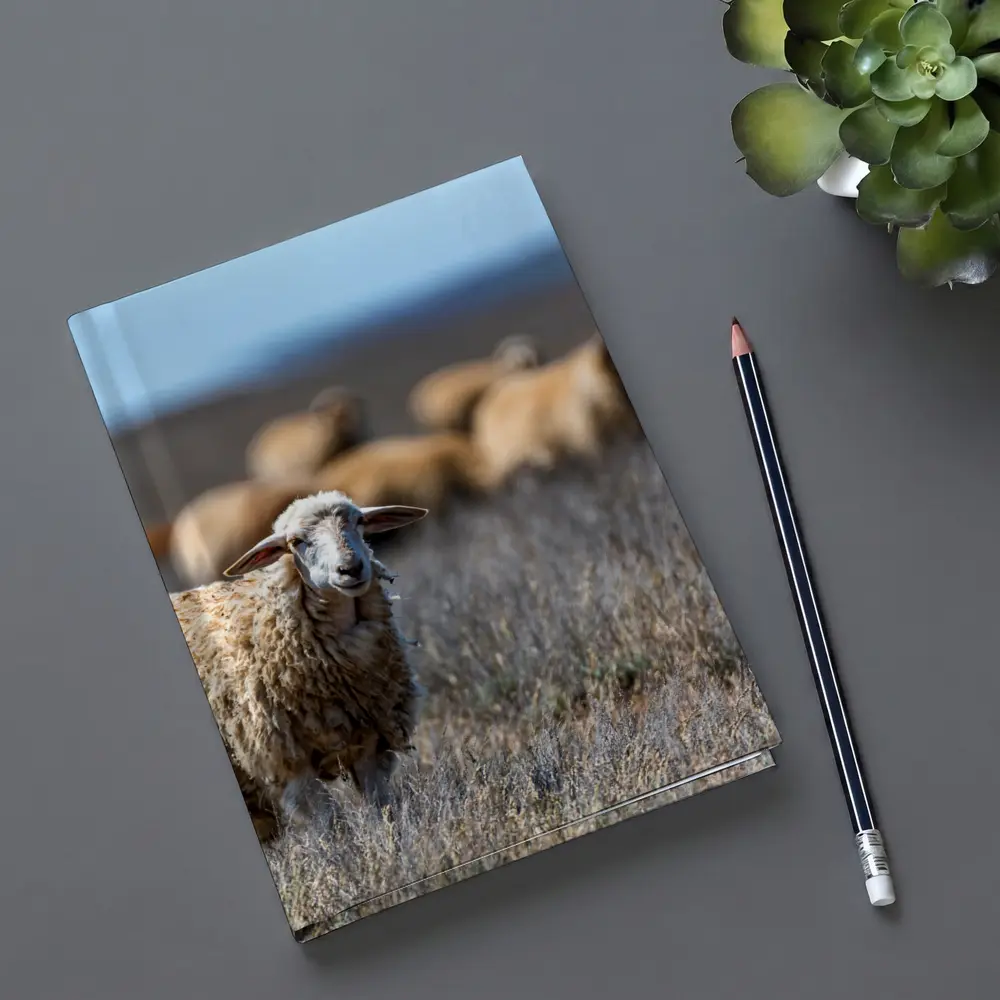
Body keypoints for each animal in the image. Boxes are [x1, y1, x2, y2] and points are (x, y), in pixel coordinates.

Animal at [169, 491, 428, 841]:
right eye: (296, 542)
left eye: (359, 521)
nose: (350, 568)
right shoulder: (288, 766)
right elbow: (331, 831)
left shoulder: (370, 744)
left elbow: (382, 810)